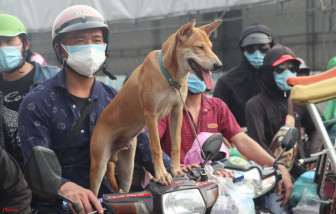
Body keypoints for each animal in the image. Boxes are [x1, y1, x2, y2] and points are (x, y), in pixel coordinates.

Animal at [89, 19, 223, 195]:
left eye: (211, 47)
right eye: (199, 47)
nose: (219, 65)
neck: (170, 77)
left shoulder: (177, 112)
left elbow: (176, 144)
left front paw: (176, 170)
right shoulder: (150, 115)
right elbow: (156, 148)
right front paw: (162, 174)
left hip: (127, 170)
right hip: (98, 167)